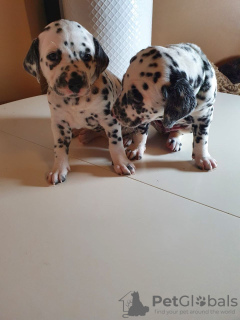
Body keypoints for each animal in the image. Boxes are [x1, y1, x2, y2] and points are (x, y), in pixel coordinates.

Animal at [23, 19, 136, 185]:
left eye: (87, 56)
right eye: (53, 56)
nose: (75, 83)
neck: (76, 101)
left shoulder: (110, 120)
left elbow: (115, 144)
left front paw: (122, 162)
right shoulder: (59, 124)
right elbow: (59, 148)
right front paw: (58, 169)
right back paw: (82, 133)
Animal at [113, 44, 218, 172]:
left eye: (137, 98)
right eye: (122, 84)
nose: (113, 112)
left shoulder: (204, 117)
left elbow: (201, 139)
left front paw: (203, 158)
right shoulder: (145, 116)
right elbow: (140, 133)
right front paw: (136, 148)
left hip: (189, 127)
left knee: (178, 131)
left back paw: (175, 140)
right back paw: (128, 138)